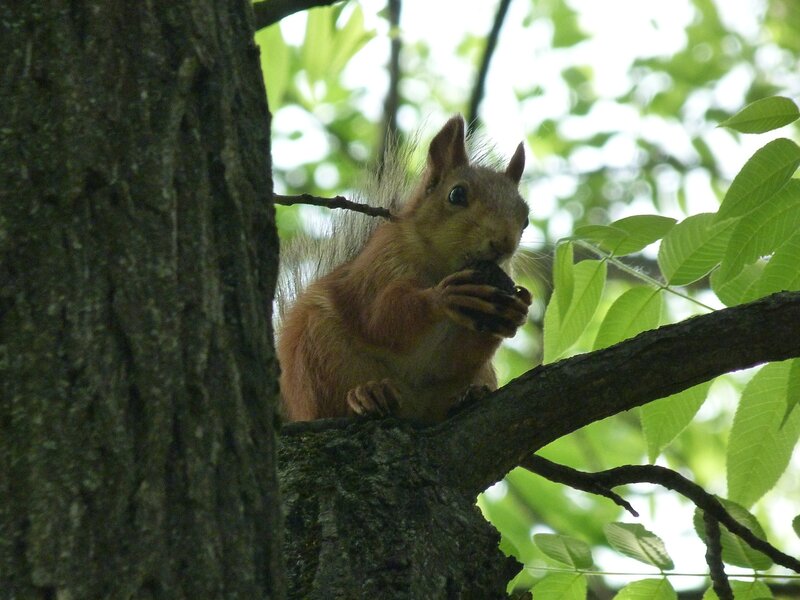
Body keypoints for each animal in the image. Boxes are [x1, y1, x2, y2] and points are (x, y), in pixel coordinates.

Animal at [277, 115, 531, 423]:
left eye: (526, 218)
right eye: (456, 194)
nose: (504, 243)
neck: (442, 267)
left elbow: (458, 361)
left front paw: (517, 309)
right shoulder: (378, 267)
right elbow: (380, 318)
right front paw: (443, 297)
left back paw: (469, 395)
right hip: (317, 355)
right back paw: (367, 395)